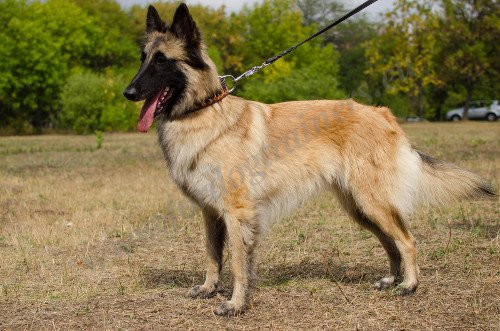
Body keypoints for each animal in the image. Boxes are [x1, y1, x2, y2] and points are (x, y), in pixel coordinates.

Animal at [123, 3, 494, 318]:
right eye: (143, 58)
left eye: (161, 61)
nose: (128, 93)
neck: (203, 111)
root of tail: (384, 114)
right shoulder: (211, 213)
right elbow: (213, 256)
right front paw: (208, 289)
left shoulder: (237, 212)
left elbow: (239, 263)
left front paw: (236, 304)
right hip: (360, 208)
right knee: (391, 242)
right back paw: (392, 280)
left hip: (371, 202)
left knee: (407, 240)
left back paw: (409, 286)